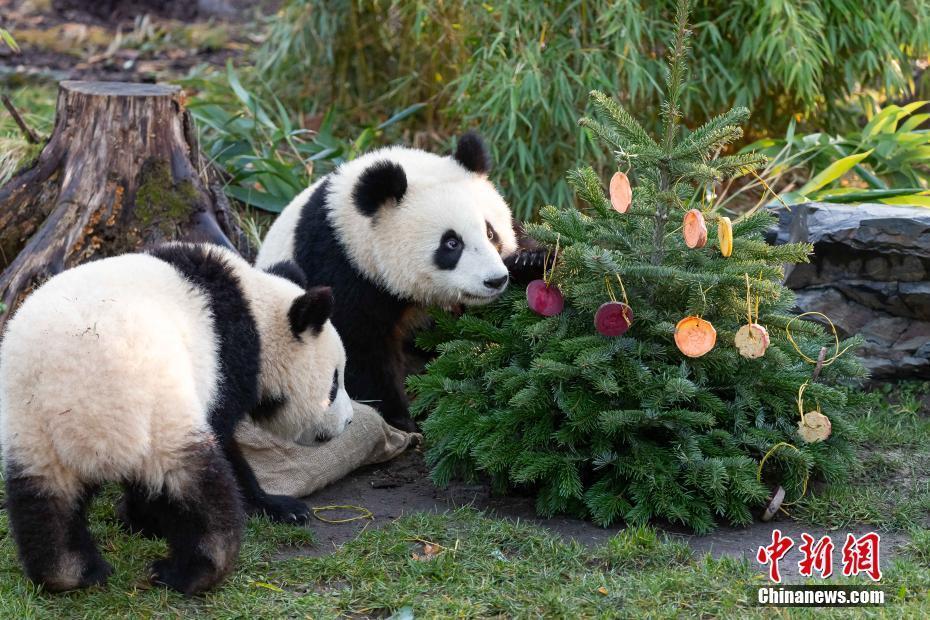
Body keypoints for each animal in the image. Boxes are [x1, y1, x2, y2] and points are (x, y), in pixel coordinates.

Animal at [0, 240, 354, 592]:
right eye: (334, 384)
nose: (348, 421)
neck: (256, 310)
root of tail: (79, 408)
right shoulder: (225, 363)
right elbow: (226, 443)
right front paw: (281, 508)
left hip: (32, 427)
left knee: (45, 501)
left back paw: (70, 573)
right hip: (160, 411)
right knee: (193, 488)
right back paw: (191, 571)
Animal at [256, 132, 516, 432]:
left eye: (491, 233)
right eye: (451, 243)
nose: (495, 280)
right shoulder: (338, 267)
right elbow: (358, 349)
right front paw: (401, 420)